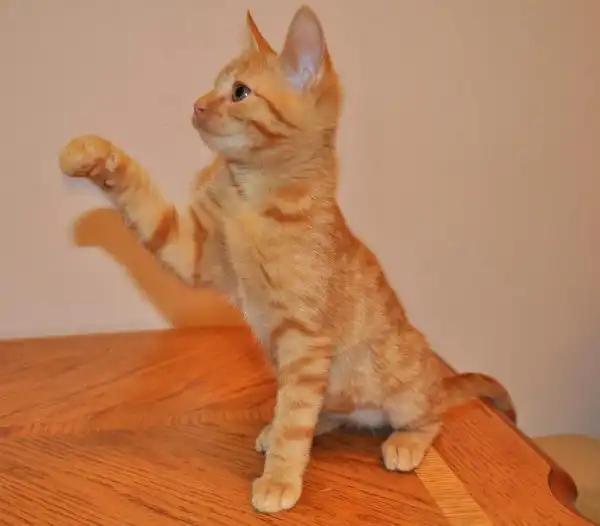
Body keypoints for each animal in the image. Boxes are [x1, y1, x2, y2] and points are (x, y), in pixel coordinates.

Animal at [58, 5, 515, 514]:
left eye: (239, 92)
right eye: (213, 85)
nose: (196, 105)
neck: (252, 194)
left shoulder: (306, 338)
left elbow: (296, 418)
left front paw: (279, 477)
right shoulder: (193, 251)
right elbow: (143, 200)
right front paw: (95, 155)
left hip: (399, 388)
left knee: (428, 415)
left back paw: (405, 441)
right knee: (329, 410)